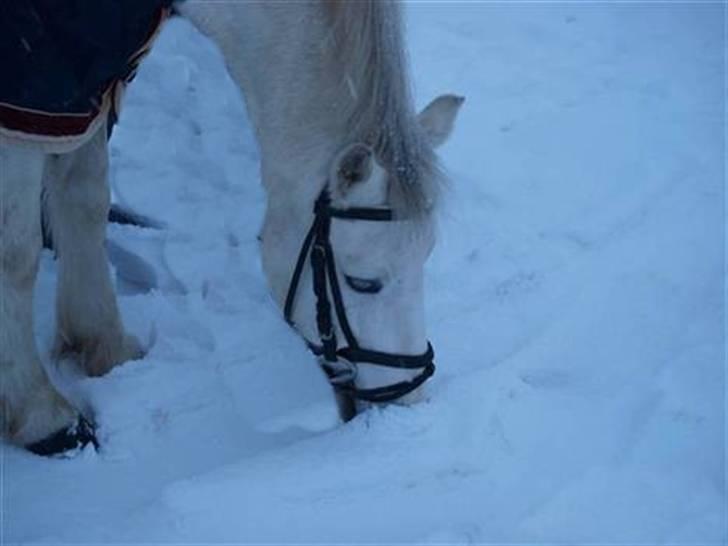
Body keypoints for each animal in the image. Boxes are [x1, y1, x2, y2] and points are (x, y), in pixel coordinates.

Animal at [0, 0, 463, 456]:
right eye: (362, 282)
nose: (406, 402)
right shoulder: (30, 91)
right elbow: (16, 255)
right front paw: (43, 416)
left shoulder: (84, 82)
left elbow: (85, 201)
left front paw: (105, 346)